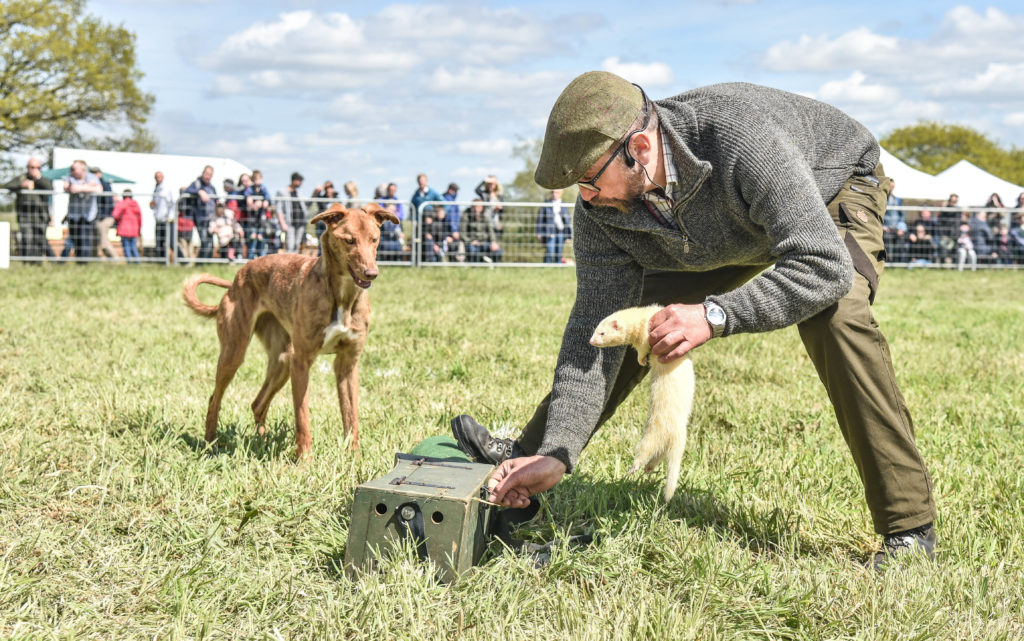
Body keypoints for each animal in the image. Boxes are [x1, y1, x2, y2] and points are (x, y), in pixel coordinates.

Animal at [182, 201, 397, 456]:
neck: (342, 297)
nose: (372, 273)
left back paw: (261, 440)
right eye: (349, 240)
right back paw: (210, 443)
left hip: (282, 360)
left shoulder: (347, 364)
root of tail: (236, 279)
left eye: (374, 239)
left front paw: (353, 455)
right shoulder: (301, 361)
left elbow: (350, 416)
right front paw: (304, 460)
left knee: (258, 404)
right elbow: (302, 419)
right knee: (215, 399)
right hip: (234, 354)